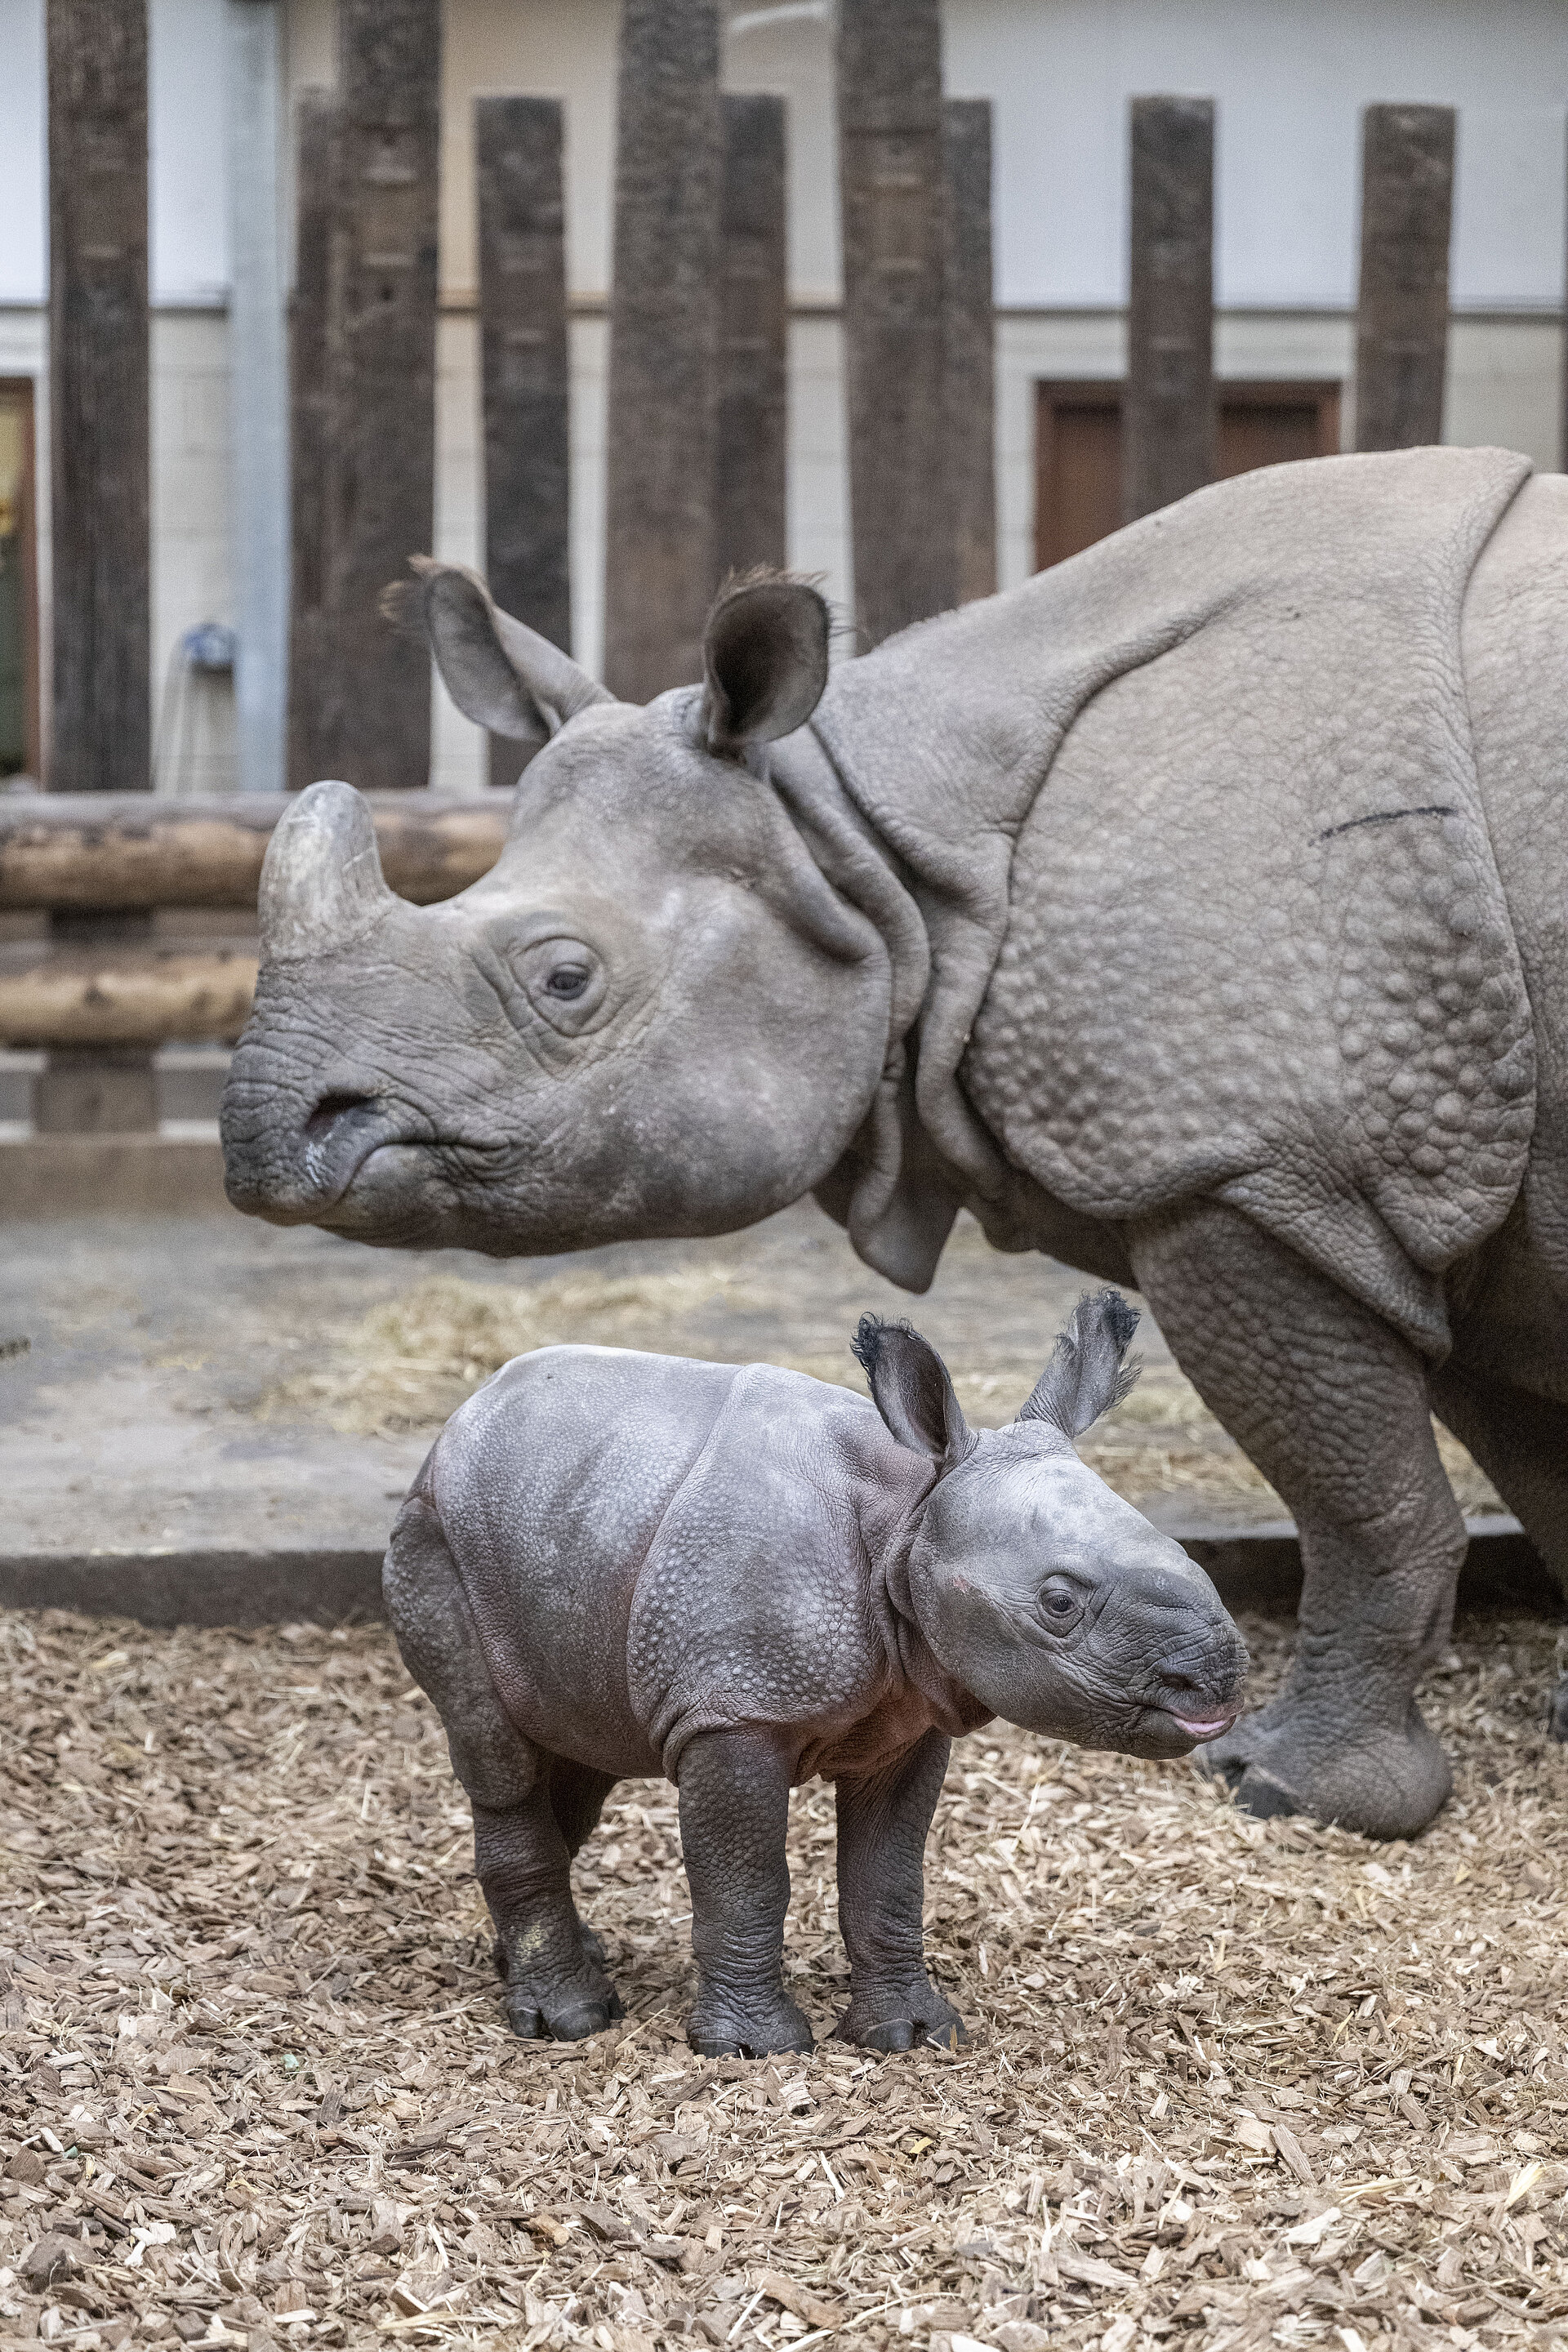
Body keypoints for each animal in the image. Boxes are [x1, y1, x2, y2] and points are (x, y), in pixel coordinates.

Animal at [223, 445, 1568, 1841]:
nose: (262, 1132)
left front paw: (1288, 1789)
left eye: (565, 980)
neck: (876, 856)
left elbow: (1364, 1499)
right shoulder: (1466, 1178)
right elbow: (1532, 1457)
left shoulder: (1252, 1169)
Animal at [385, 1295, 1248, 2051]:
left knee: (575, 1756)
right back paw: (569, 2019)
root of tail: (462, 1417)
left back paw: (544, 1966)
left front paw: (911, 2035)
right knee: (498, 1755)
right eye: (1059, 1603)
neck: (910, 1513)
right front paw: (752, 2049)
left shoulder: (910, 1717)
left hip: (569, 1520)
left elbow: (888, 1879)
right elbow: (745, 1879)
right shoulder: (734, 1709)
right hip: (434, 1536)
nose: (1216, 1680)